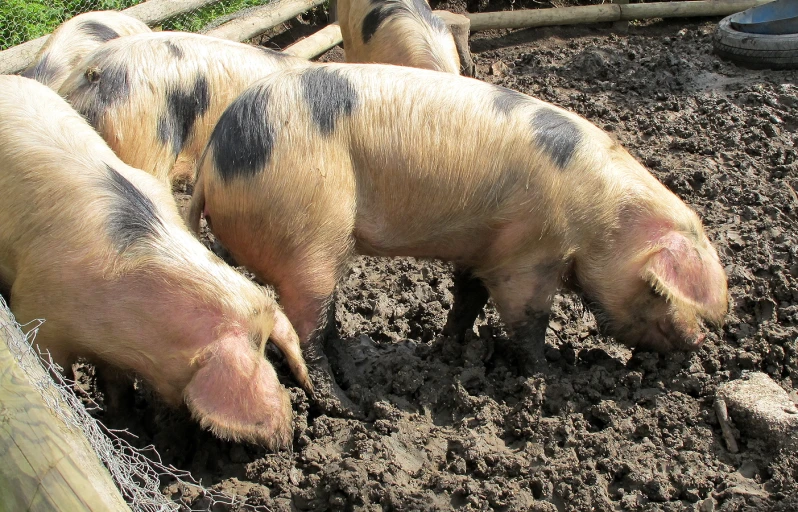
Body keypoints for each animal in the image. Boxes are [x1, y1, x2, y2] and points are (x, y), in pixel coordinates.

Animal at [0, 76, 310, 448]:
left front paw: (127, 422)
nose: (291, 439)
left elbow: (116, 384)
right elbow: (56, 372)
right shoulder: (34, 313)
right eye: (259, 349)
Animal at [188, 64, 732, 404]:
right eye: (658, 289)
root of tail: (211, 168)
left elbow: (467, 297)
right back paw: (348, 407)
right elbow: (528, 319)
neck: (602, 220)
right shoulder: (528, 254)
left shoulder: (484, 245)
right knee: (306, 331)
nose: (700, 339)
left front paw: (446, 352)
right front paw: (546, 379)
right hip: (307, 234)